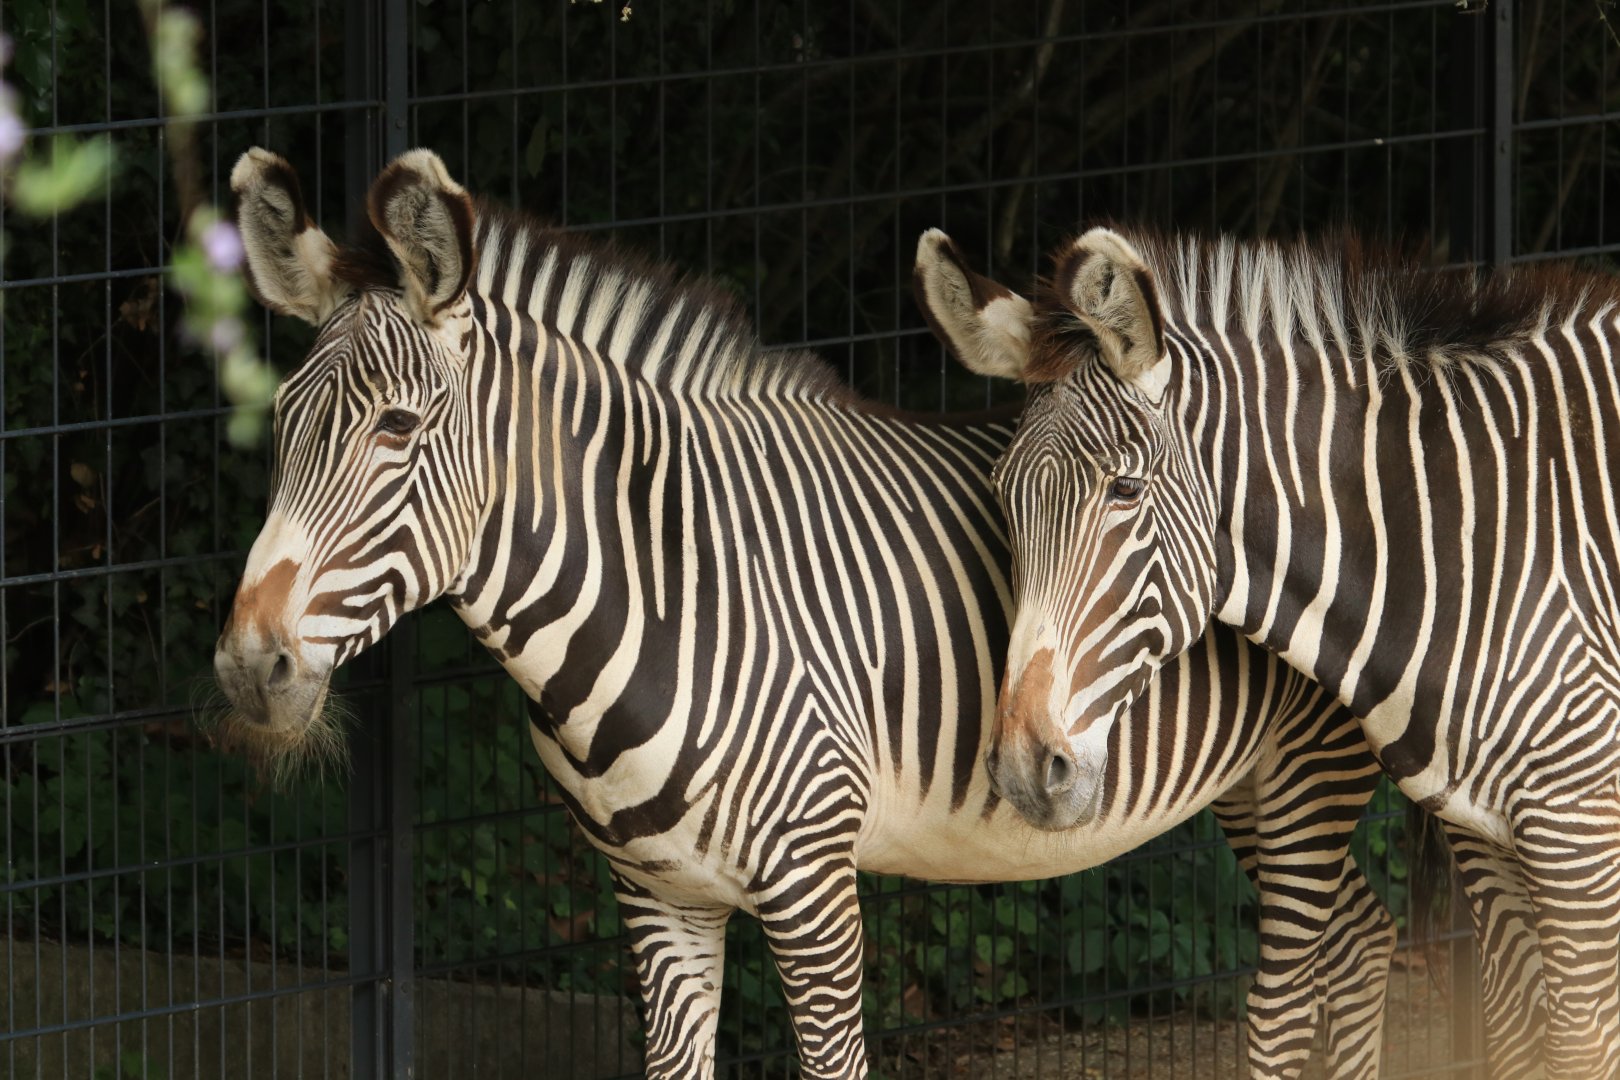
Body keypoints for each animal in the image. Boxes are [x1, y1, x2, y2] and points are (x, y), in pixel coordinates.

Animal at [211, 147, 1398, 1079]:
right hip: (1252, 783)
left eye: (397, 428)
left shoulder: (813, 884)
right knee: (1366, 940)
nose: (247, 666)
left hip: (1309, 772)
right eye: (278, 421)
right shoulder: (659, 897)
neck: (665, 587)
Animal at [913, 224, 1620, 1078]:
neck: (1469, 539)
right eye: (1004, 495)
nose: (1022, 767)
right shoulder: (1484, 835)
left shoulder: (1580, 831)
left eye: (1124, 491)